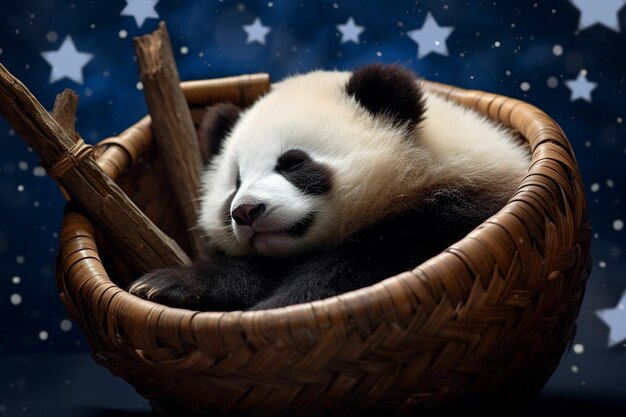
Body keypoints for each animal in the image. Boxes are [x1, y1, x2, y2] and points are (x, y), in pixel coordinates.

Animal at [129, 64, 528, 308]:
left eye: (293, 163)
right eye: (236, 181)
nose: (246, 211)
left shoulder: (453, 214)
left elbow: (357, 268)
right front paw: (165, 285)